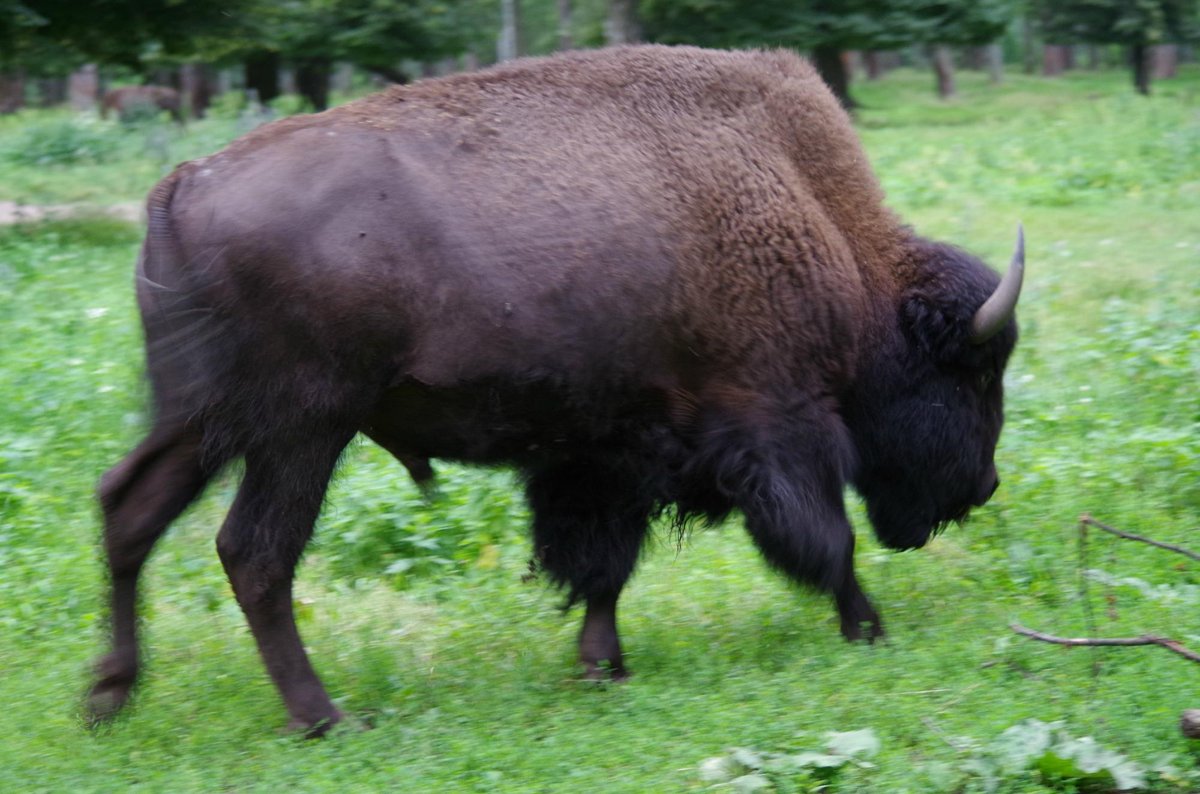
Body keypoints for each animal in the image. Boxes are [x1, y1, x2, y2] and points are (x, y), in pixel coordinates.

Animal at [88, 46, 1022, 738]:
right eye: (974, 373)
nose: (982, 486)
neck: (814, 216)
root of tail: (182, 186)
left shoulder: (607, 451)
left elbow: (604, 564)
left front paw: (602, 666)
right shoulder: (777, 424)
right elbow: (829, 541)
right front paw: (869, 629)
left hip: (201, 423)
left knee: (129, 511)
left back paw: (109, 696)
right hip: (301, 431)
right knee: (255, 553)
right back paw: (322, 717)